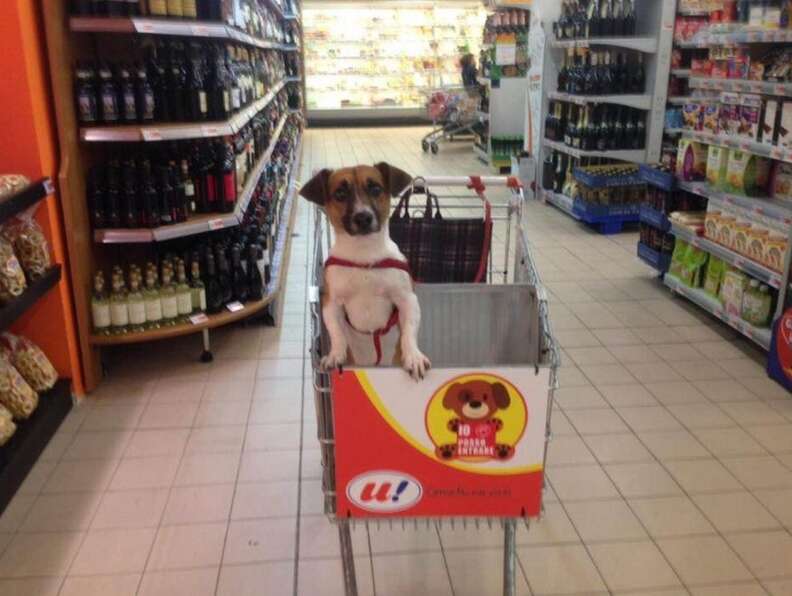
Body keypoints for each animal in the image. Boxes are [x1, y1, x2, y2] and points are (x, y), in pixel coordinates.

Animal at [298, 161, 434, 380]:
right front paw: (335, 354)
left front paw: (413, 355)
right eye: (340, 193)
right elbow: (337, 333)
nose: (363, 217)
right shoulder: (331, 304)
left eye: (376, 189)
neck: (364, 256)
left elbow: (409, 331)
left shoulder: (407, 299)